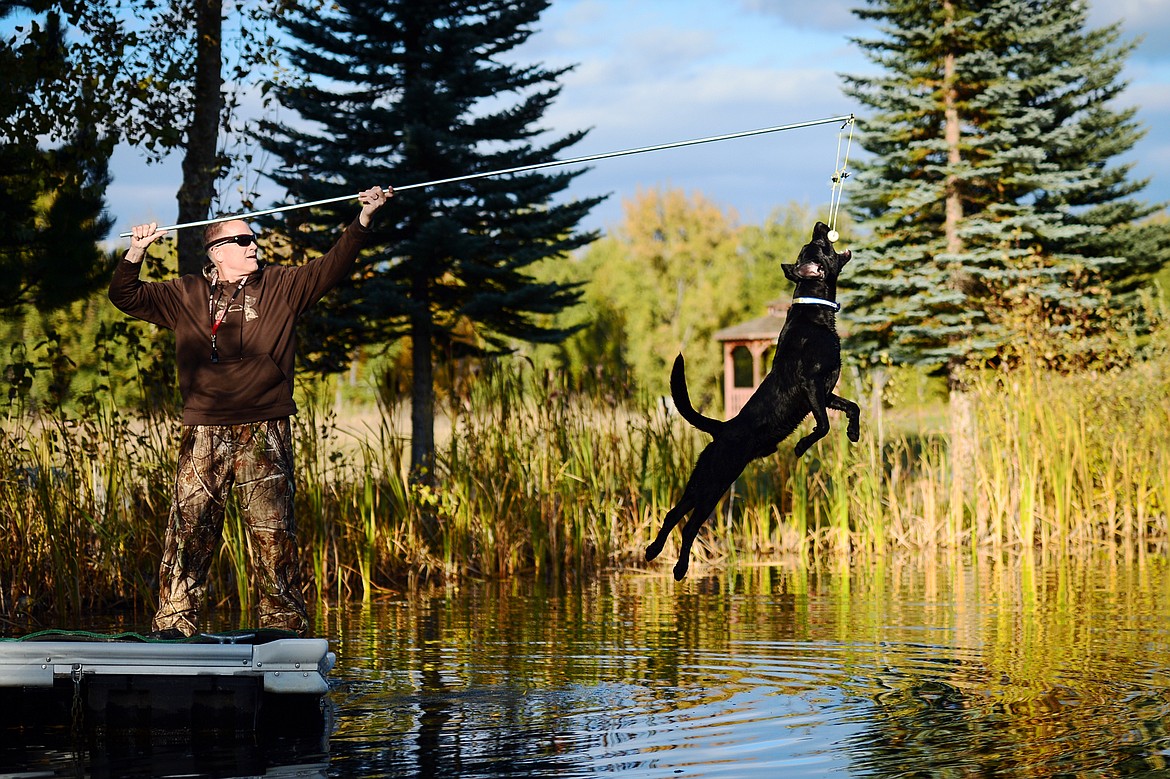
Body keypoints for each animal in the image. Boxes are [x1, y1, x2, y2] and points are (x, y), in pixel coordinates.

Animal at [650, 218, 861, 575]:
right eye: (818, 244)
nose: (820, 224)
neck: (816, 313)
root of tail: (722, 428)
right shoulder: (811, 386)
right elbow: (822, 427)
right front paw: (801, 447)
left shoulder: (827, 391)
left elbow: (853, 407)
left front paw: (854, 432)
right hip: (715, 484)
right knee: (690, 525)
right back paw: (679, 568)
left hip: (700, 480)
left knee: (672, 513)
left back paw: (653, 551)